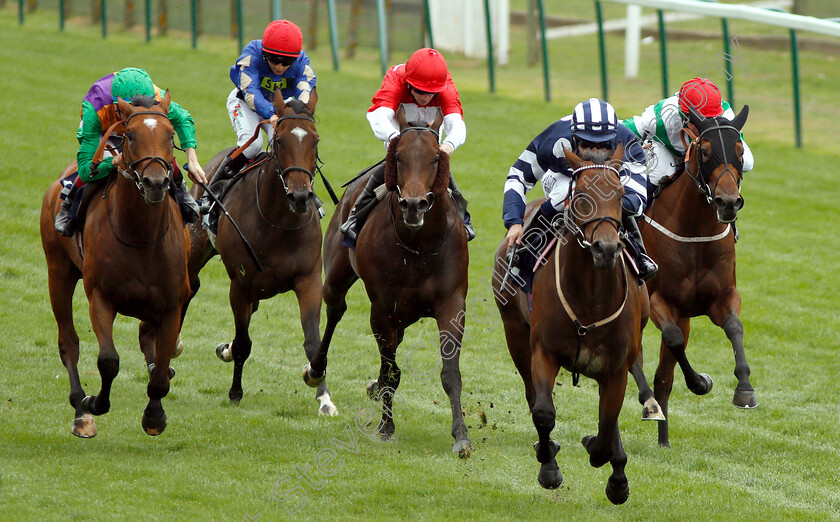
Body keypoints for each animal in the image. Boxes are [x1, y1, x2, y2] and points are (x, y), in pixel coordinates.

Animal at [40, 92, 189, 434]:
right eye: (131, 135)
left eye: (170, 135)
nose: (155, 182)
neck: (141, 237)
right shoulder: (101, 298)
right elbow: (108, 361)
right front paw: (95, 402)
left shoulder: (173, 305)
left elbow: (160, 373)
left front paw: (154, 416)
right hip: (58, 272)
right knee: (68, 341)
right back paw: (80, 412)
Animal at [184, 95, 334, 412]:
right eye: (279, 140)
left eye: (314, 140)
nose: (299, 196)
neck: (279, 223)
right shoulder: (240, 285)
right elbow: (244, 343)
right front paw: (235, 392)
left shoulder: (309, 279)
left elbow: (313, 342)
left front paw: (323, 396)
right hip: (197, 247)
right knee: (187, 289)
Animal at [318, 105, 472, 456]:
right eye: (399, 157)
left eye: (435, 158)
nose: (414, 205)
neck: (418, 245)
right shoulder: (383, 307)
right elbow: (392, 372)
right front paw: (386, 427)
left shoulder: (452, 303)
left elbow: (450, 372)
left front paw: (461, 435)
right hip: (337, 276)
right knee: (334, 311)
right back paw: (316, 371)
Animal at [492, 144, 648, 502]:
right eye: (581, 196)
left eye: (620, 195)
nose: (606, 248)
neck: (590, 298)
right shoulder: (543, 352)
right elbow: (544, 411)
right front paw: (549, 467)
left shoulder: (617, 367)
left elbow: (607, 424)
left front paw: (613, 473)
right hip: (514, 332)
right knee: (532, 396)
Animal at [632, 103, 756, 444]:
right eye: (705, 151)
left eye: (740, 150)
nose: (728, 202)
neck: (694, 232)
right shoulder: (661, 301)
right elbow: (674, 340)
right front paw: (700, 382)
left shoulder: (723, 297)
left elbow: (734, 328)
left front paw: (745, 389)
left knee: (662, 377)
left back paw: (663, 440)